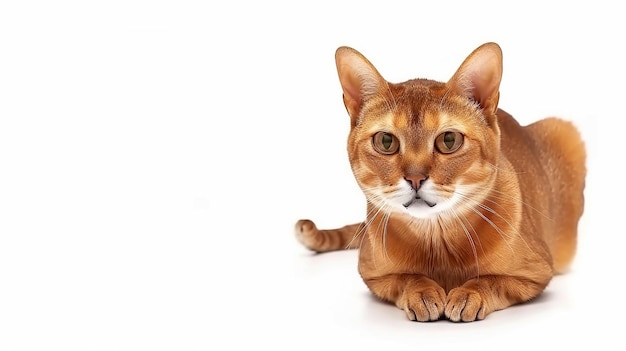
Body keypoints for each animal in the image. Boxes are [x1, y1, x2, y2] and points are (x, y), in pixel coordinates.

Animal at [294, 42, 584, 324]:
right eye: (386, 142)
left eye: (449, 140)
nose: (415, 178)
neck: (437, 239)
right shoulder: (373, 275)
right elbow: (407, 278)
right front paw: (422, 292)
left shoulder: (536, 273)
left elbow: (490, 280)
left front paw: (469, 294)